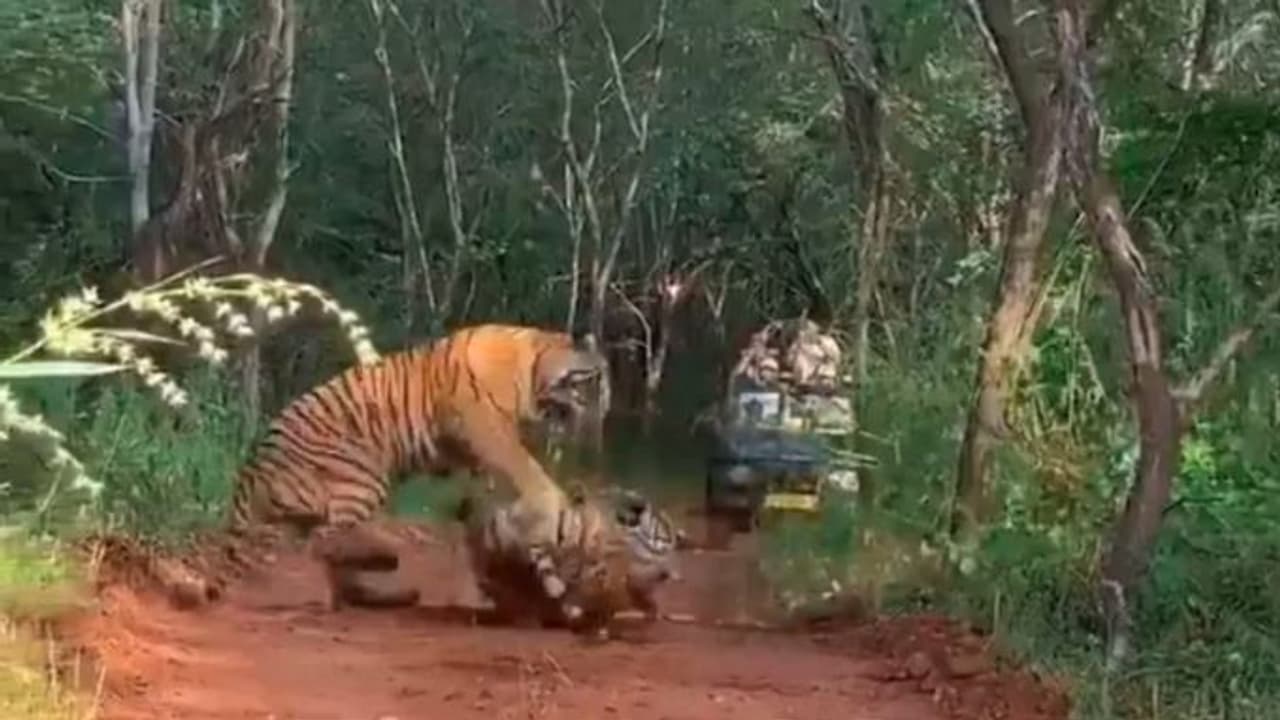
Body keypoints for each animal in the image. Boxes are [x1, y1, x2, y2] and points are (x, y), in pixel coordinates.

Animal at [217, 323, 611, 612]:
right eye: (595, 380)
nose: (604, 413)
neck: (534, 369)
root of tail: (254, 466)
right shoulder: (487, 429)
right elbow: (527, 468)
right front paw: (549, 507)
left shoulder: (471, 454)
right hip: (364, 478)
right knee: (325, 542)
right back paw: (384, 560)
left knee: (330, 551)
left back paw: (381, 591)